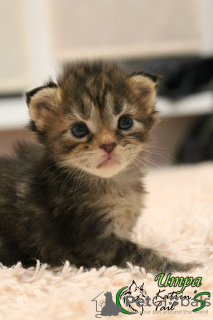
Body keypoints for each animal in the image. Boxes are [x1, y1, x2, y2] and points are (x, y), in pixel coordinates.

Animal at [0, 60, 196, 272]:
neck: (111, 183)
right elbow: (143, 255)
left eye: (125, 122)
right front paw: (187, 266)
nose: (108, 145)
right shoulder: (93, 241)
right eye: (79, 129)